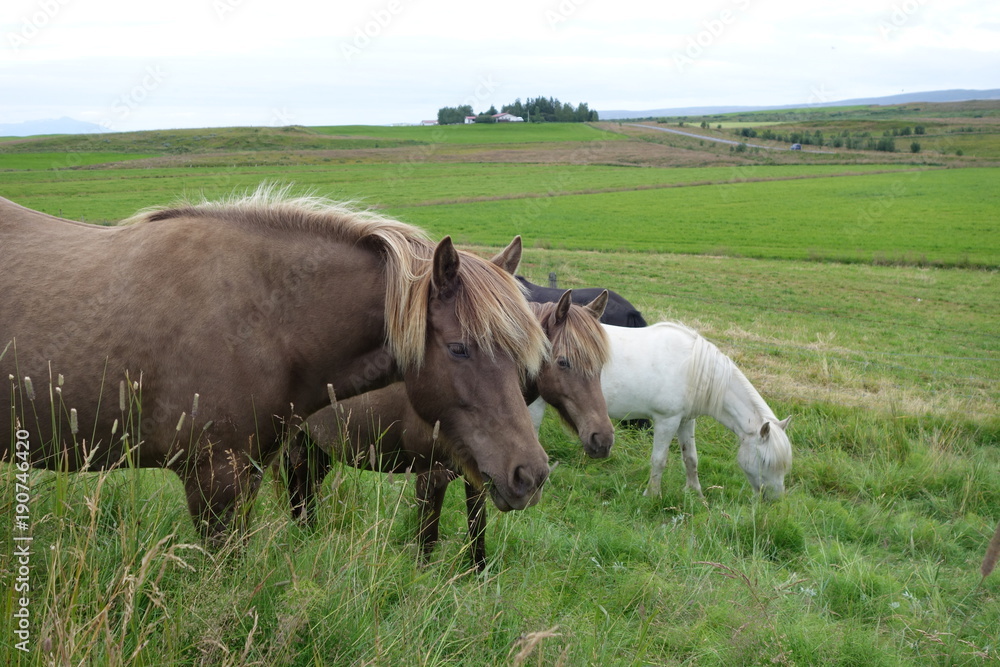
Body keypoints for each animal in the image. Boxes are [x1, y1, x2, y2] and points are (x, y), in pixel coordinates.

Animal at [0, 186, 552, 545]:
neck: (264, 320)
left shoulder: (245, 476)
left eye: (522, 357)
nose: (530, 473)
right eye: (459, 348)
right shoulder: (214, 482)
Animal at [287, 289, 612, 571]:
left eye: (600, 367)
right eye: (563, 362)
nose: (603, 438)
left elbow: (477, 530)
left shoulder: (481, 479)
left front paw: (479, 576)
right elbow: (427, 540)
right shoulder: (431, 476)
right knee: (299, 491)